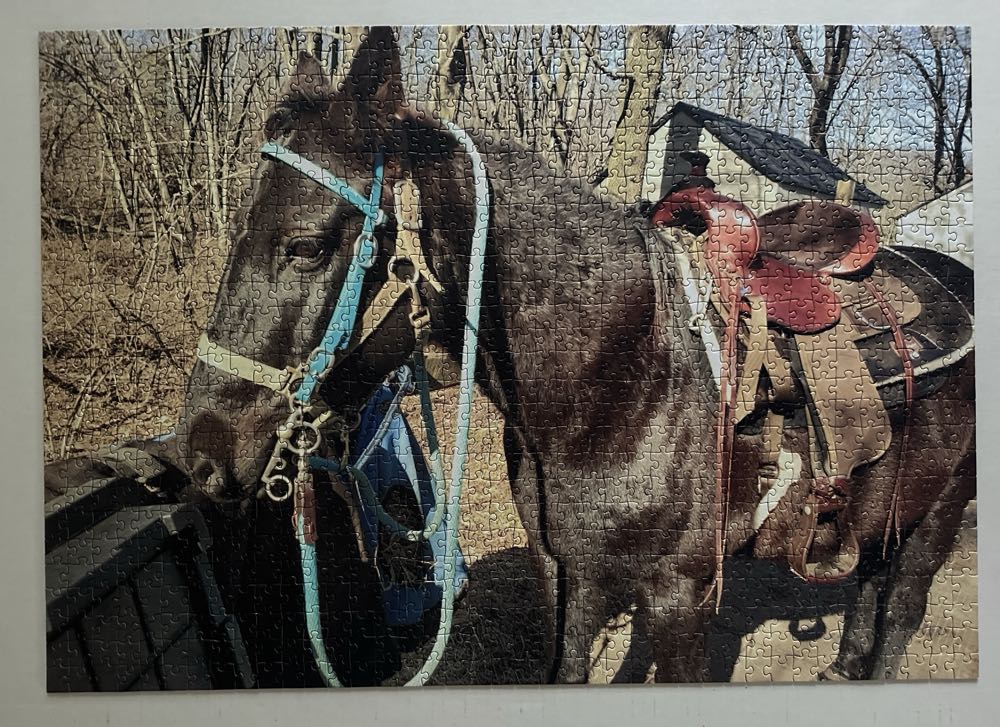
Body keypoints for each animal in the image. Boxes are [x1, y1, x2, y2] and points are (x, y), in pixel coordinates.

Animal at [160, 26, 975, 683]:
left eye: (304, 245)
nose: (204, 449)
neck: (621, 381)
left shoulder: (681, 598)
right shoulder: (565, 573)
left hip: (941, 513)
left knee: (902, 606)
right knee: (870, 578)